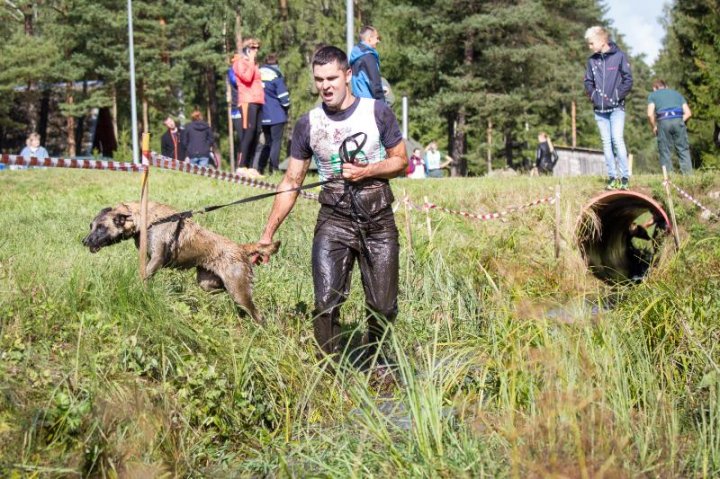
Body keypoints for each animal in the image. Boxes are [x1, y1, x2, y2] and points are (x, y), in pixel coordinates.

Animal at [81, 202, 278, 322]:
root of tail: (240, 248)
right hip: (207, 282)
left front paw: (139, 291)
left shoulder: (157, 258)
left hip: (238, 291)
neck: (147, 220)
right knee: (224, 290)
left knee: (258, 315)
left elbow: (144, 276)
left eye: (101, 227)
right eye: (91, 226)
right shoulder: (149, 258)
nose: (84, 241)